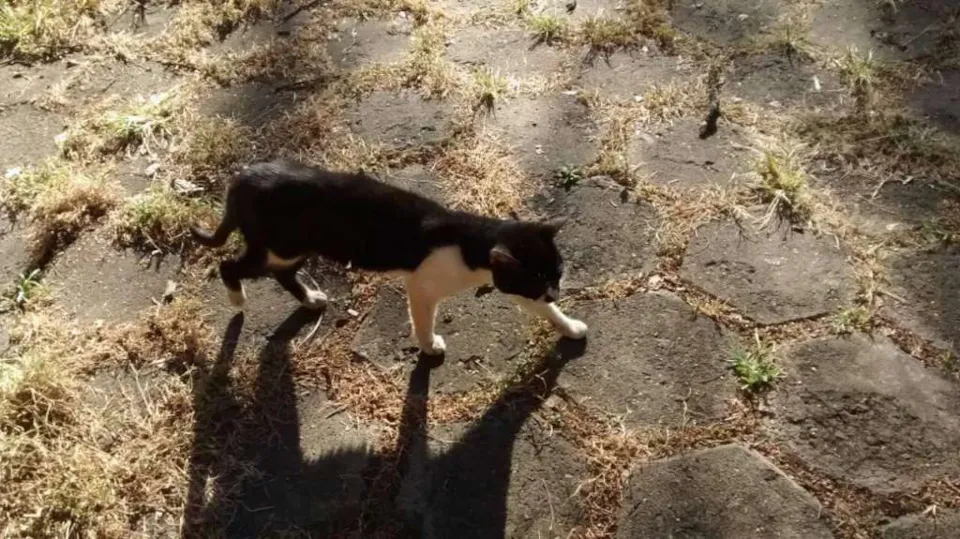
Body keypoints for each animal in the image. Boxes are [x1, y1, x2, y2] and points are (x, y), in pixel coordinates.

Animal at [190, 159, 587, 355]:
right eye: (538, 278)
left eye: (557, 272)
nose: (555, 290)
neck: (470, 239)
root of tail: (243, 178)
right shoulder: (423, 285)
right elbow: (423, 320)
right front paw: (428, 346)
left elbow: (546, 312)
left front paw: (569, 327)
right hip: (278, 246)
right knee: (229, 264)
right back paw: (236, 297)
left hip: (295, 249)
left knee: (281, 273)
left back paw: (310, 299)